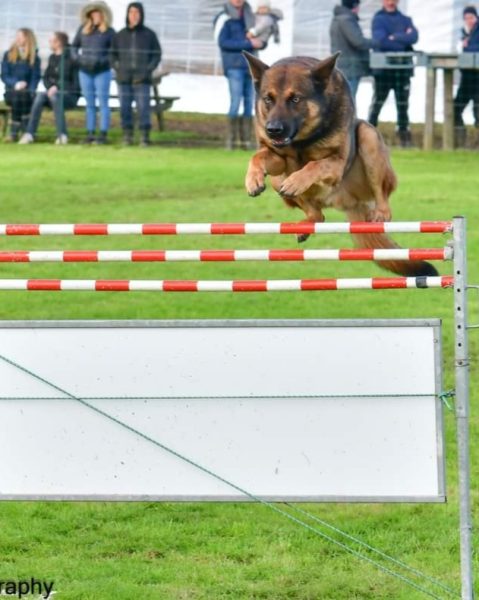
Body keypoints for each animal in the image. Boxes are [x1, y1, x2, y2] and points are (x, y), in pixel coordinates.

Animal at [244, 51, 438, 276]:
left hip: (368, 137)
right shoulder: (277, 158)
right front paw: (253, 180)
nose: (273, 130)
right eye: (268, 99)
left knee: (382, 197)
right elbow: (257, 157)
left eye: (295, 99)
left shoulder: (336, 165)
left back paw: (380, 213)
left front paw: (297, 181)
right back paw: (305, 224)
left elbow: (314, 165)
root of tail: (348, 202)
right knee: (318, 215)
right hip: (278, 181)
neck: (303, 141)